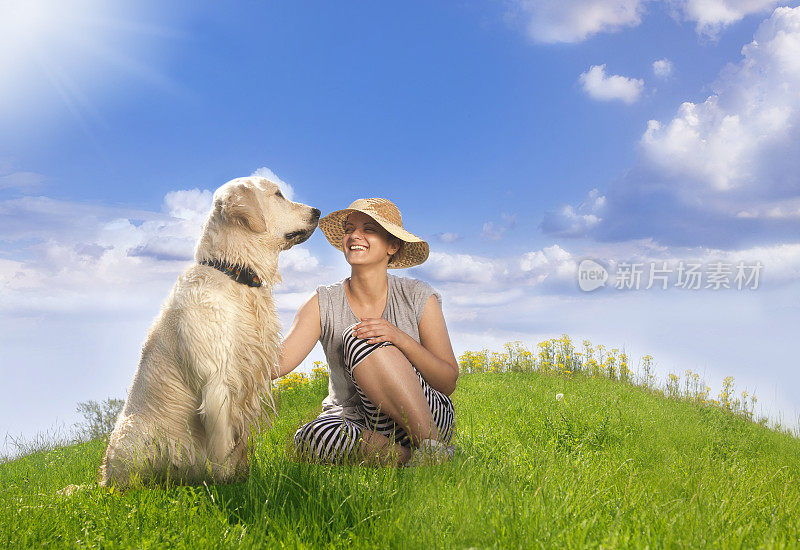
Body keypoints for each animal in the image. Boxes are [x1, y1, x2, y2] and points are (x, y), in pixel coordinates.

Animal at [95, 175, 318, 490]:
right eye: (278, 194)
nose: (318, 212)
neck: (231, 272)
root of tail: (104, 481)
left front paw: (242, 476)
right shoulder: (216, 380)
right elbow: (223, 443)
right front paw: (228, 485)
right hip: (134, 431)